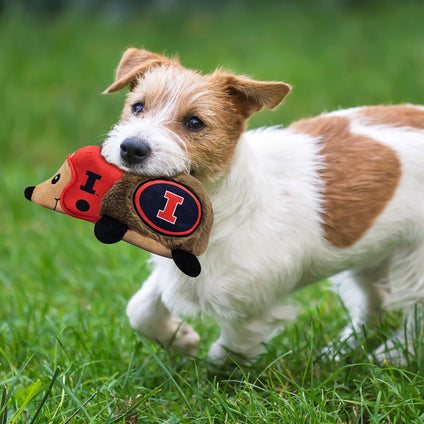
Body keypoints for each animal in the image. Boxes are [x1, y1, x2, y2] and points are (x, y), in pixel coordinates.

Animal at [100, 47, 424, 364]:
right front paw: (180, 339)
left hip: (414, 263)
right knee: (373, 303)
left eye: (194, 123)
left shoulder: (251, 310)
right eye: (137, 107)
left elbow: (227, 353)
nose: (131, 148)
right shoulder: (175, 270)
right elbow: (140, 309)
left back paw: (395, 355)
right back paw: (341, 352)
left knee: (414, 314)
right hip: (369, 255)